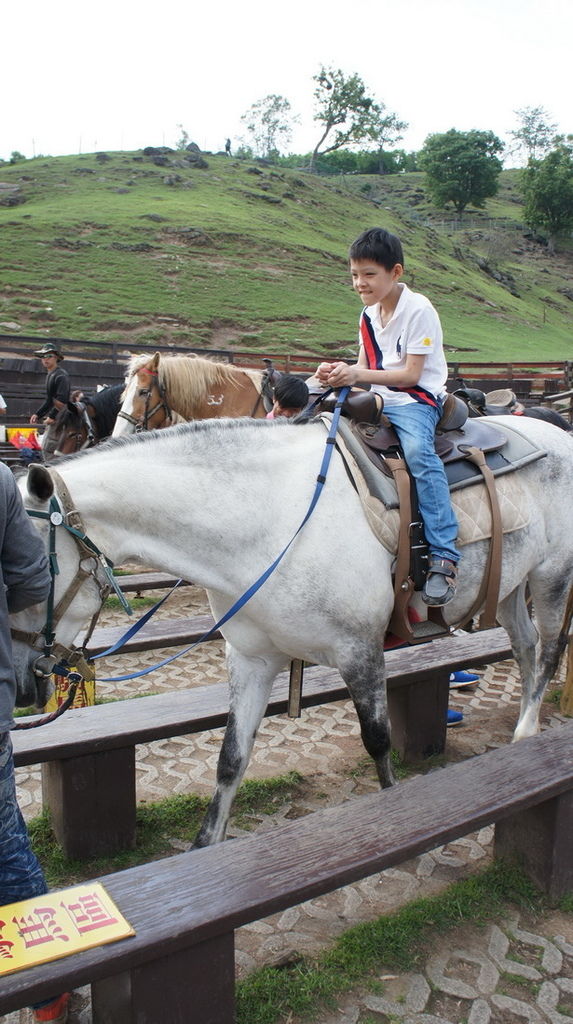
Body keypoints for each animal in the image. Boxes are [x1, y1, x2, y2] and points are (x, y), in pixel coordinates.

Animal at [10, 415, 573, 847]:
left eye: (28, 569)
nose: (19, 682)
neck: (270, 521)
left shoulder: (360, 651)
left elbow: (378, 742)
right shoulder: (251, 659)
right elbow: (230, 759)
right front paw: (205, 846)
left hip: (550, 577)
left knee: (548, 650)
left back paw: (527, 731)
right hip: (509, 585)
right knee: (524, 647)